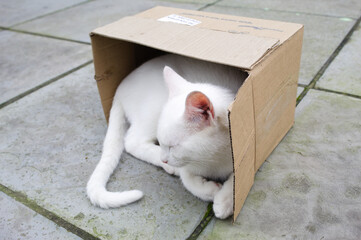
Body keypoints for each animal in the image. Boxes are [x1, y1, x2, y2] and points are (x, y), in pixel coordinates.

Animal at [87, 53, 245, 218]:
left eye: (173, 146)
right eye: (162, 143)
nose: (164, 159)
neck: (213, 158)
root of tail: (120, 87)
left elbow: (238, 178)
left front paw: (225, 201)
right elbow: (187, 179)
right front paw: (210, 191)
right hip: (153, 109)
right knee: (131, 141)